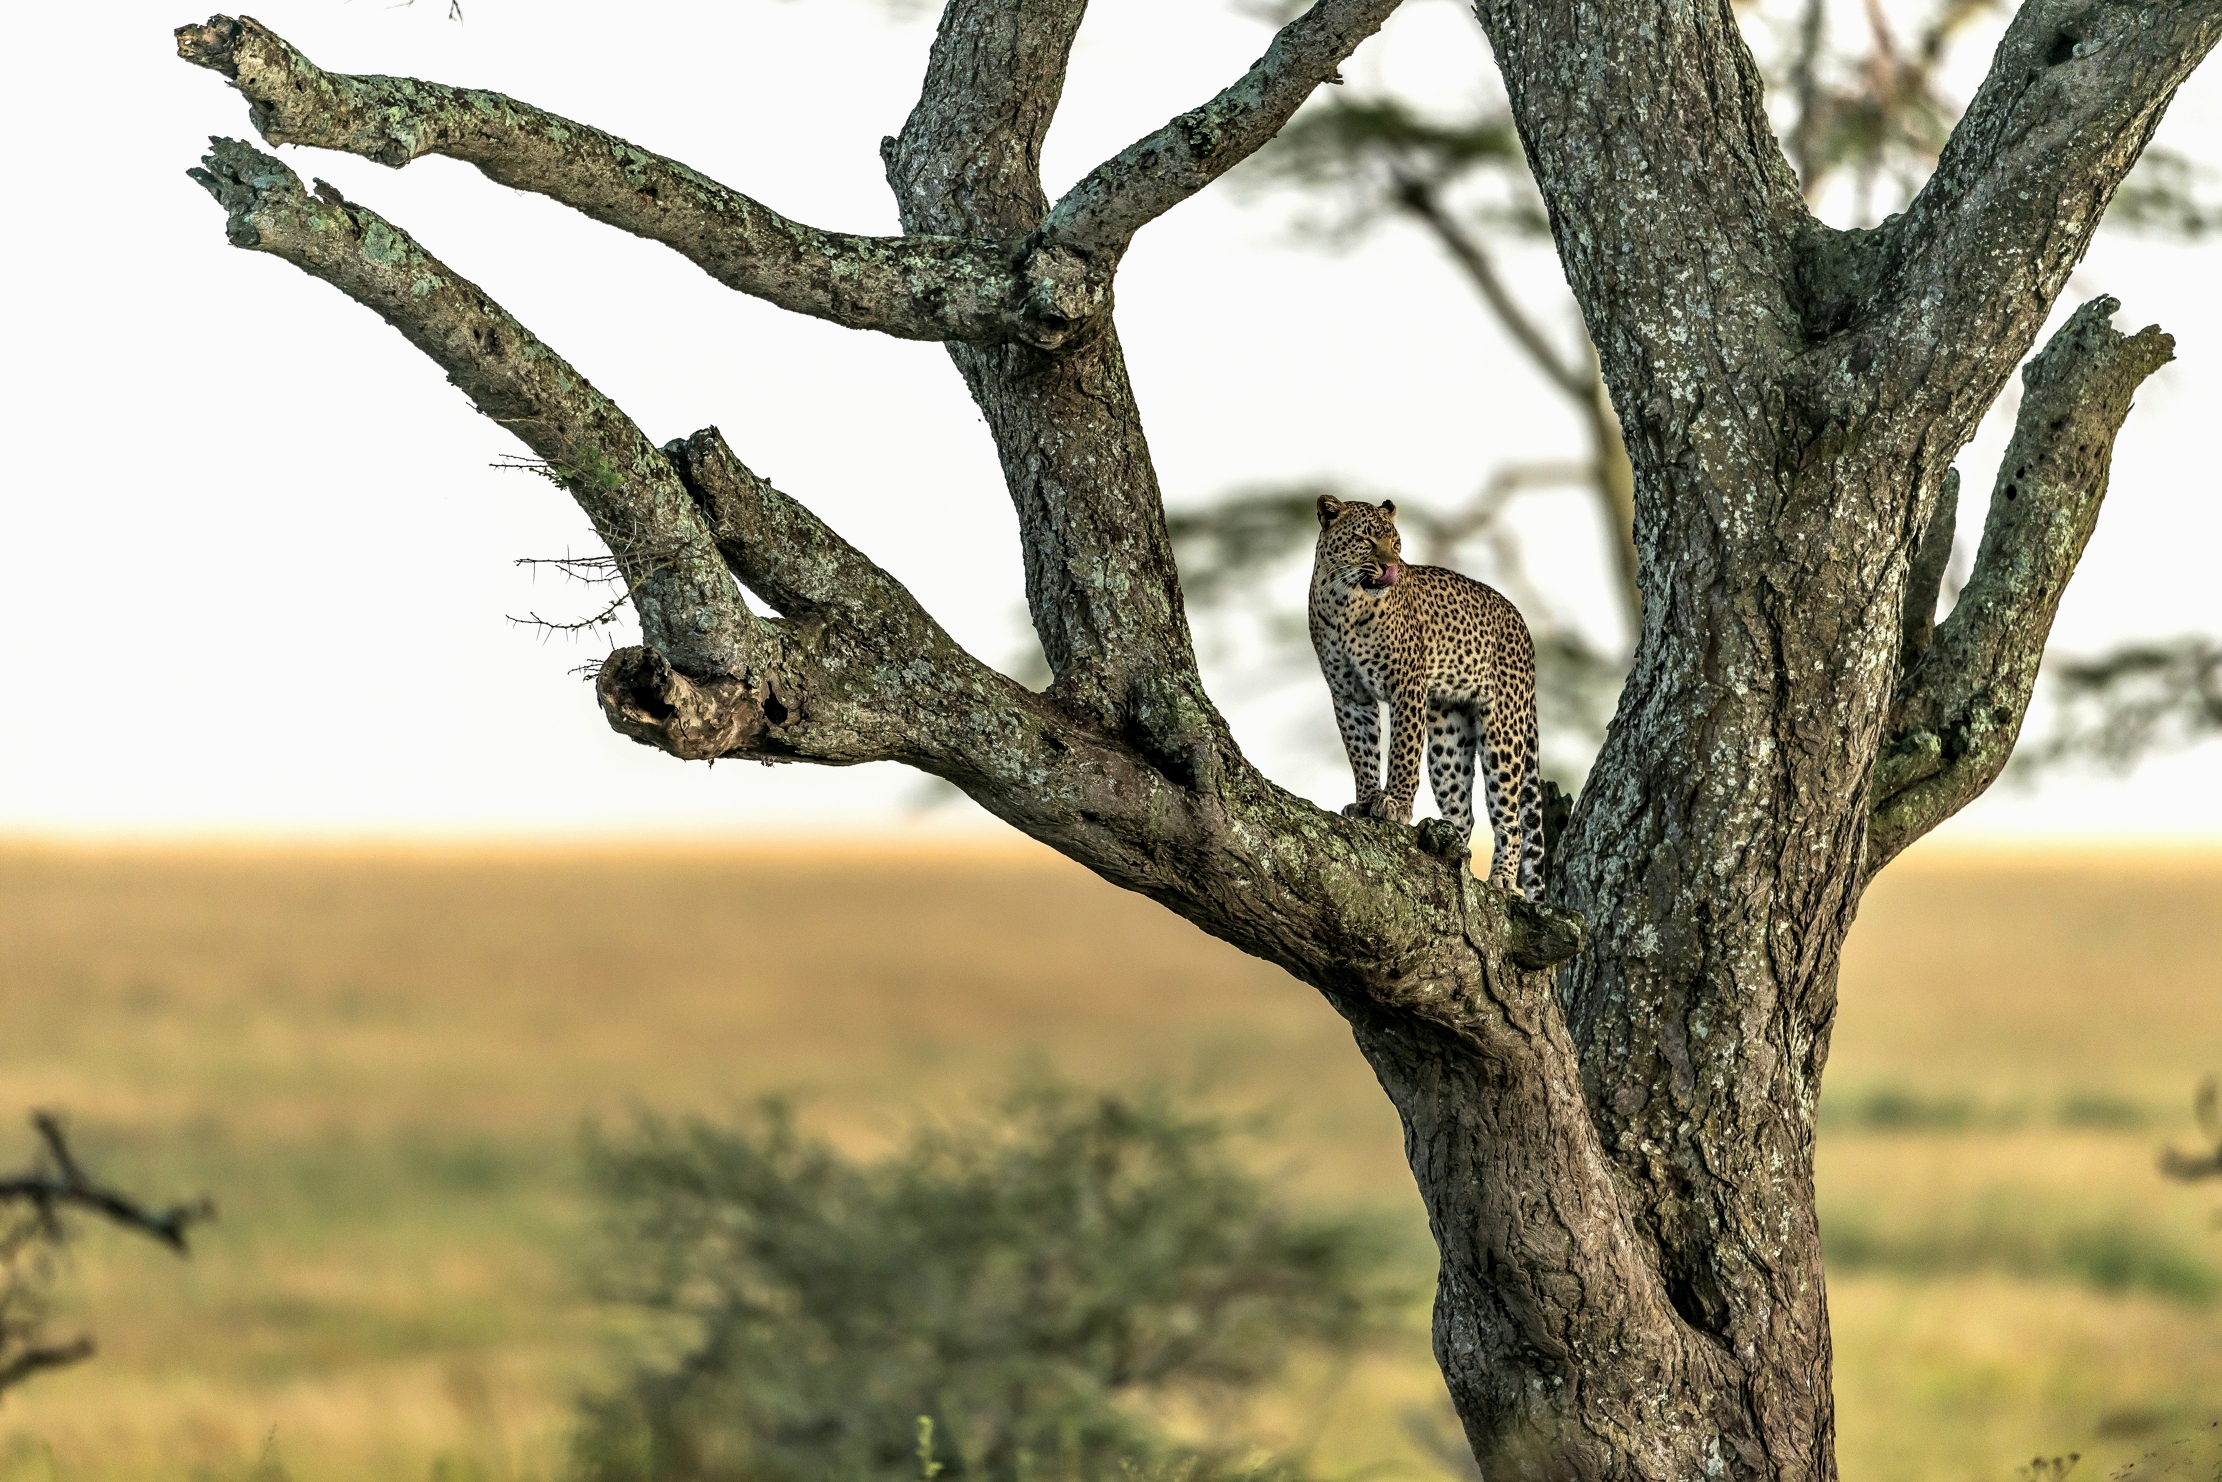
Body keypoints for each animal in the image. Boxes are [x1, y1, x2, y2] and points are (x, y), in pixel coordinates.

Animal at [1308, 494, 1546, 901]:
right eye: (1366, 540)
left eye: (1395, 542)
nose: (1390, 567)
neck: (1345, 601)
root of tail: (1521, 622)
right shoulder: (1348, 694)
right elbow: (1361, 751)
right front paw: (1366, 801)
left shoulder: (1406, 684)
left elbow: (1402, 750)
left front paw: (1396, 804)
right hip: (1448, 734)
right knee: (1463, 812)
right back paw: (1452, 853)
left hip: (1502, 730)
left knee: (1511, 817)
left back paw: (1501, 878)